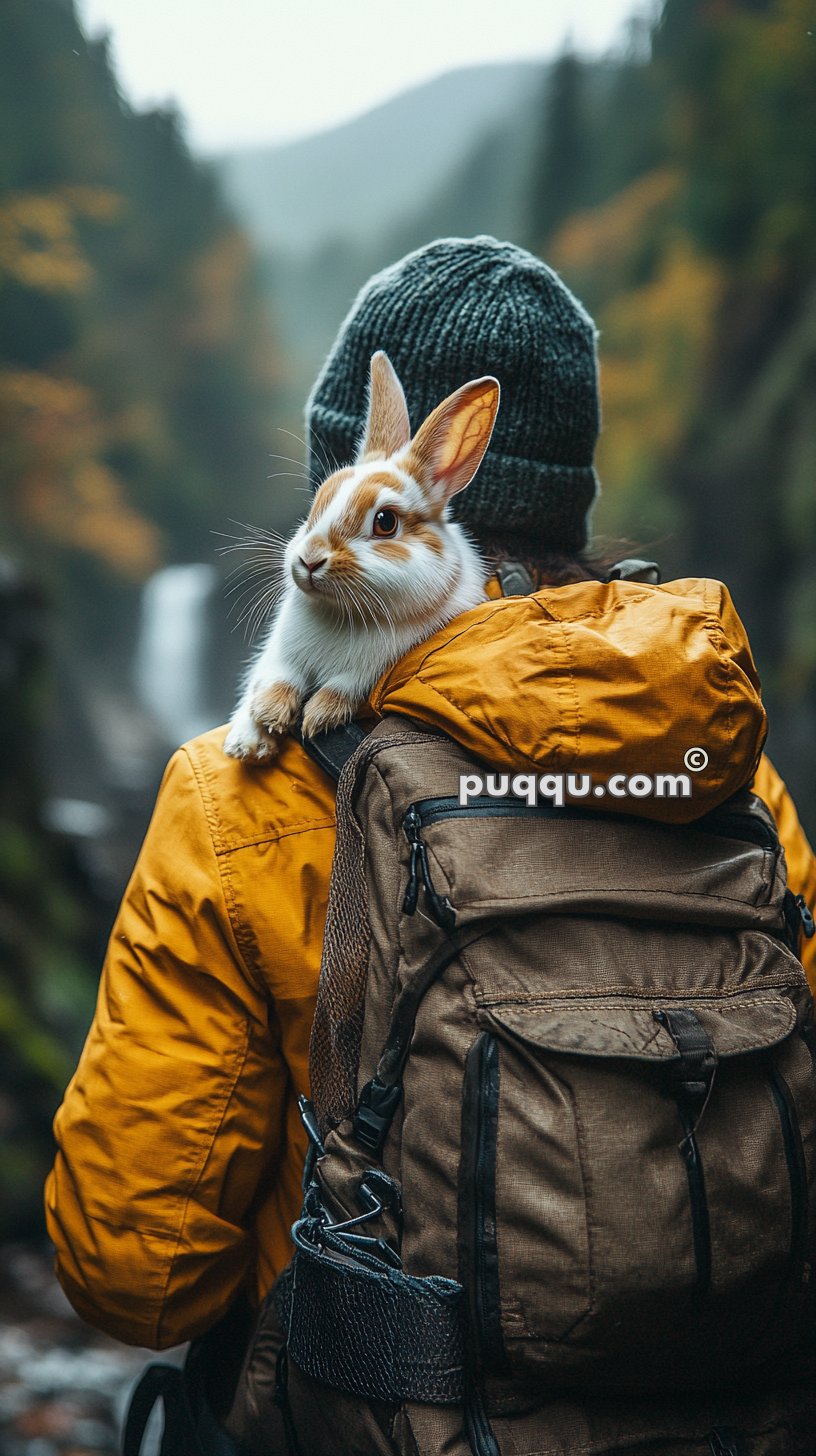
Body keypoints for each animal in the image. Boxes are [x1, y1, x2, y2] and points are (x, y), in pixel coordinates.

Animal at [225, 349, 501, 762]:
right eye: (318, 502)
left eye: (385, 522)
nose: (309, 560)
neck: (339, 613)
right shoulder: (280, 651)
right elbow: (278, 676)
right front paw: (262, 723)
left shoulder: (371, 670)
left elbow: (343, 687)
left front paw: (316, 717)